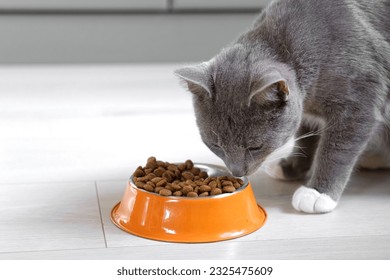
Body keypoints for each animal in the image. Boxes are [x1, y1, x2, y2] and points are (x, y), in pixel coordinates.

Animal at [174, 0, 390, 213]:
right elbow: (306, 137)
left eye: (255, 147)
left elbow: (337, 149)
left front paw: (317, 193)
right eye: (215, 145)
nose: (237, 171)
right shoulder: (305, 111)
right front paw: (291, 167)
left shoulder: (358, 101)